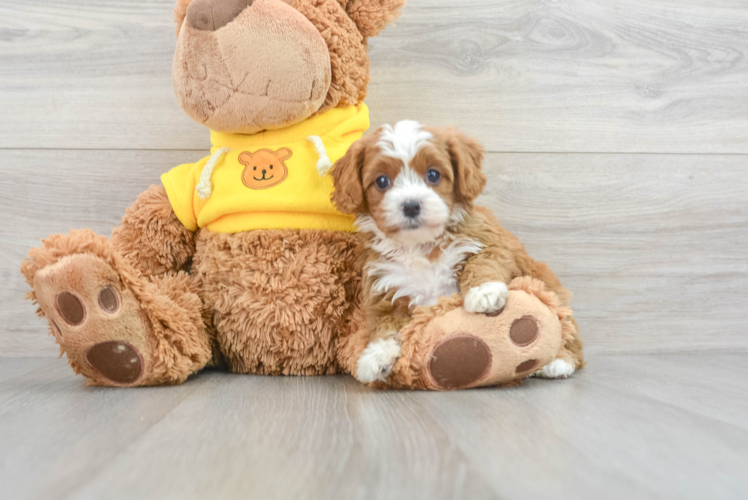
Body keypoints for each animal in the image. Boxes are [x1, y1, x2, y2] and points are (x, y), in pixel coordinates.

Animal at [334, 120, 584, 382]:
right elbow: (384, 326)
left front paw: (484, 293)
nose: (411, 205)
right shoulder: (387, 287)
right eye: (382, 181)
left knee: (568, 333)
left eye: (433, 174)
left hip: (554, 294)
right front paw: (375, 356)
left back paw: (559, 362)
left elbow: (481, 262)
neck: (420, 246)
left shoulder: (487, 241)